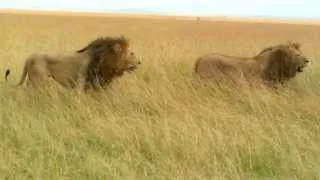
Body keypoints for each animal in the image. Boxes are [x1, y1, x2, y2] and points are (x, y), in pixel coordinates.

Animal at [4, 35, 141, 90]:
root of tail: (29, 57)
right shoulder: (81, 84)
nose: (139, 62)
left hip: (32, 81)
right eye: (131, 53)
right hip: (39, 82)